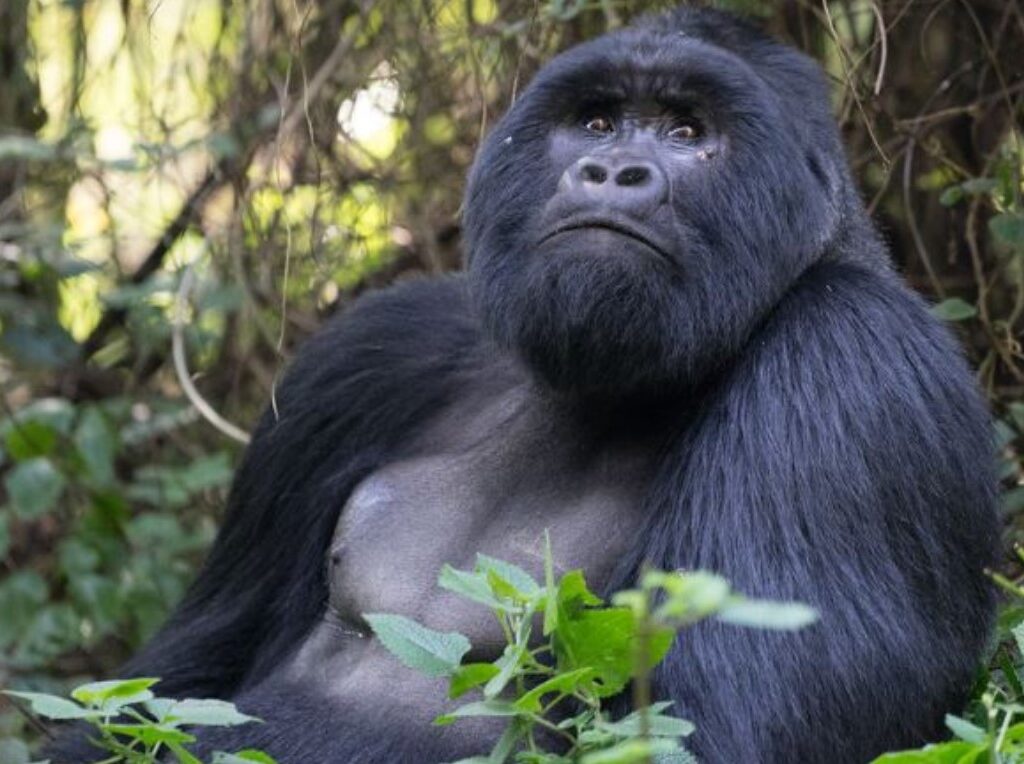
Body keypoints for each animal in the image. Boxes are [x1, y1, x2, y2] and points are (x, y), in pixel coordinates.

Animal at [49, 5, 999, 761]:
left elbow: (718, 733)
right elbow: (164, 684)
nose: (612, 173)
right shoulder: (369, 353)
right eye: (597, 121)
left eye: (688, 133)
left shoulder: (851, 365)